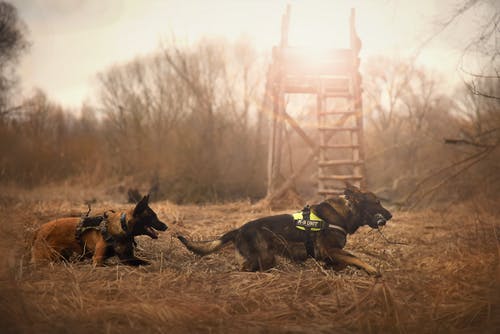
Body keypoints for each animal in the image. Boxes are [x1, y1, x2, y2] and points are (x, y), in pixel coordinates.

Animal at [31, 194, 168, 264]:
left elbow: (148, 263)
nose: (166, 226)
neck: (121, 227)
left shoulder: (128, 258)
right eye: (153, 216)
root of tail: (39, 230)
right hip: (47, 257)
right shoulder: (98, 260)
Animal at [178, 184, 392, 276]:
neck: (346, 213)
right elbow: (355, 258)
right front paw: (372, 270)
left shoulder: (330, 253)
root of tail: (239, 229)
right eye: (377, 203)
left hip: (267, 259)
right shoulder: (330, 250)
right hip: (263, 258)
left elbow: (343, 262)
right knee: (244, 268)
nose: (390, 216)